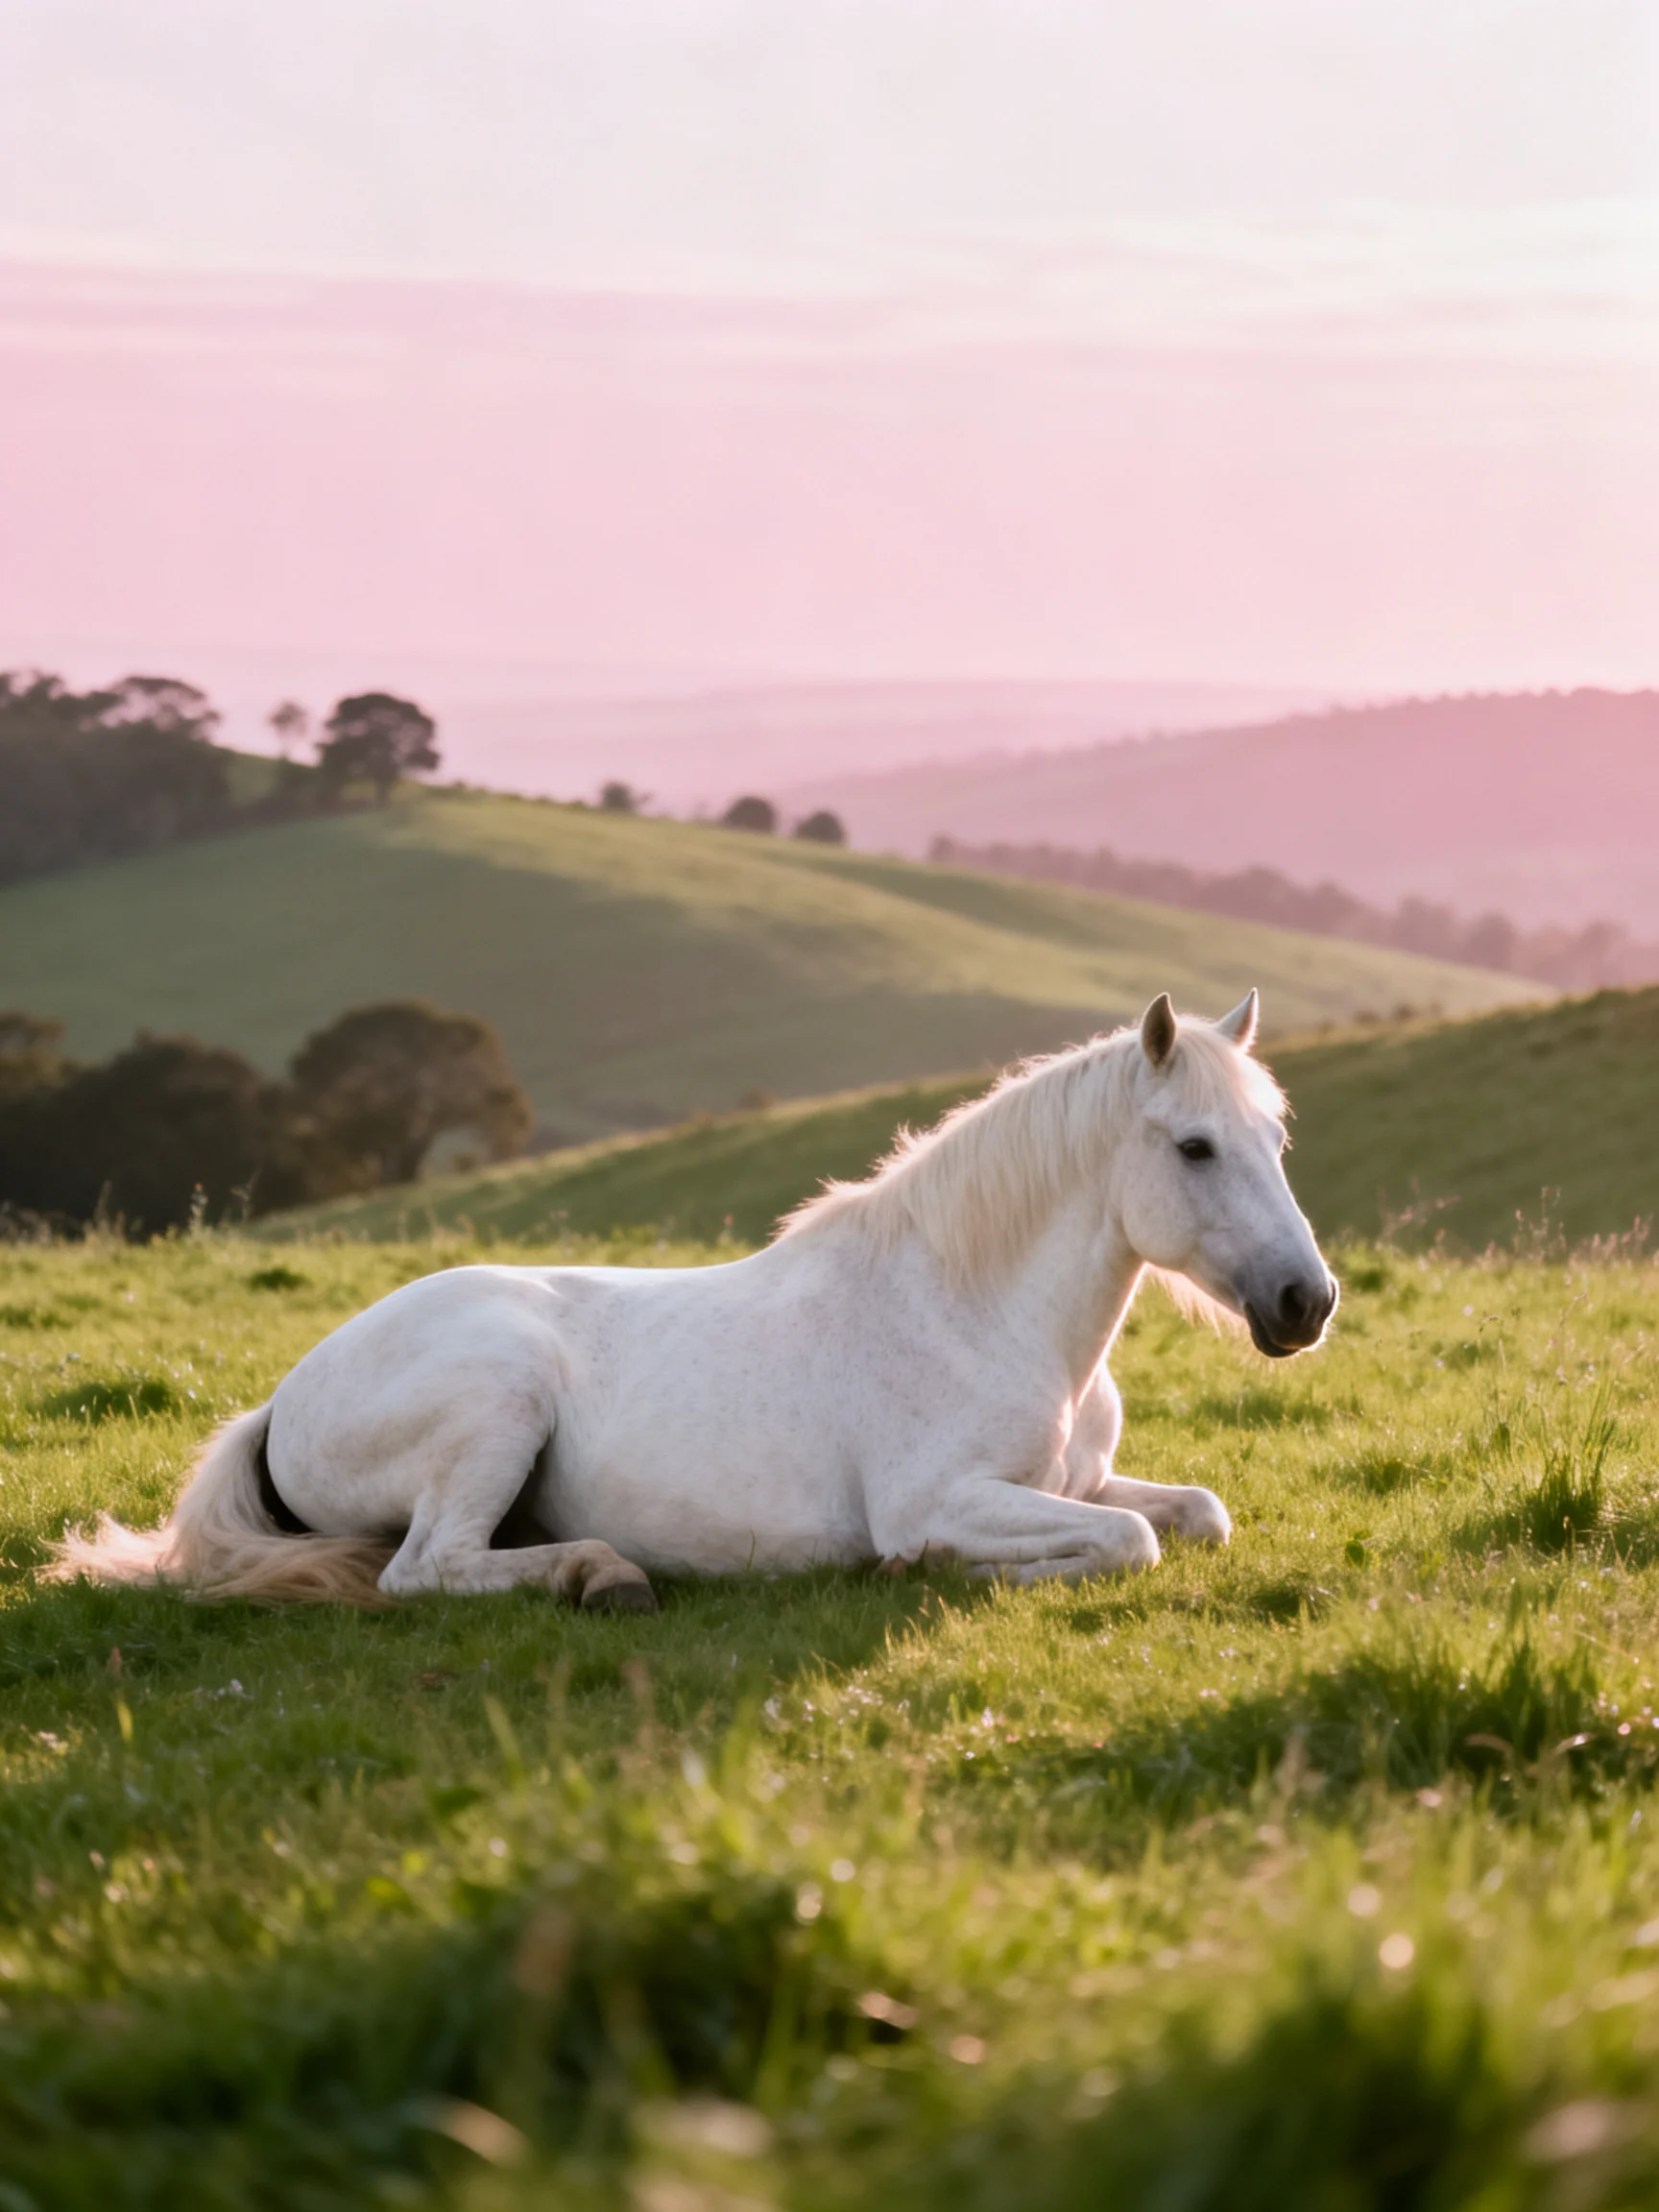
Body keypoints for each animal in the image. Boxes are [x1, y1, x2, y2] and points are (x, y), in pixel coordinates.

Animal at [49, 990, 1337, 1611]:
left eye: (1277, 1139)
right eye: (1193, 1147)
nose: (1307, 1302)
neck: (977, 1313)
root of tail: (280, 1403)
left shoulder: (1082, 1480)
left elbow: (1196, 1513)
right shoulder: (942, 1498)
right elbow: (1129, 1541)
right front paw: (919, 1572)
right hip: (496, 1397)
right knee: (428, 1571)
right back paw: (605, 1575)